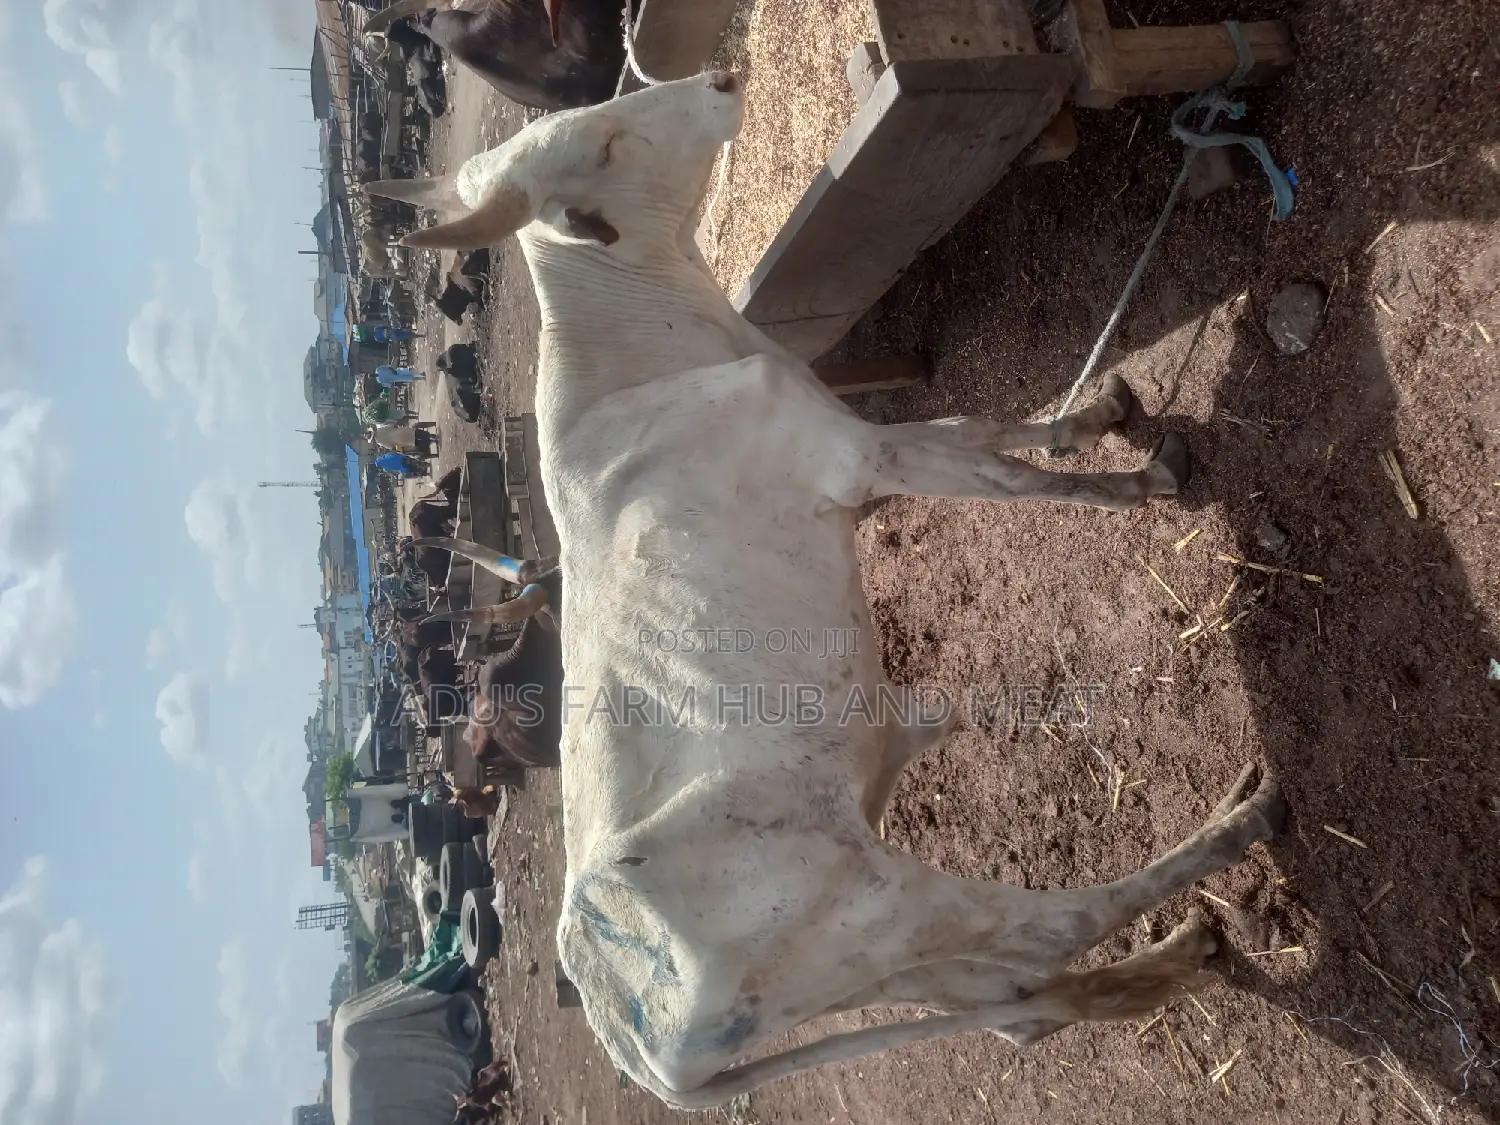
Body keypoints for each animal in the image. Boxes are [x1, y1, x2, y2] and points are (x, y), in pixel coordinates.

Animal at [366, 74, 1285, 1108]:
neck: (663, 345)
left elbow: (982, 424)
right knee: (1050, 931)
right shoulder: (859, 456)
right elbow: (1007, 474)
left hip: (877, 963)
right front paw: (1140, 479)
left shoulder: (862, 438)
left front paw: (1096, 412)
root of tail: (633, 1039)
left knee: (1022, 1005)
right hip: (884, 903)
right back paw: (1240, 826)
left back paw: (1182, 953)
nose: (723, 81)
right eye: (604, 143)